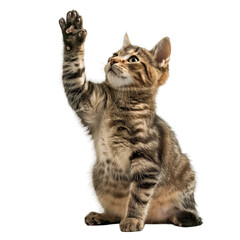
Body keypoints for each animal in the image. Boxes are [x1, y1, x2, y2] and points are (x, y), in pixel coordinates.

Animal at [59, 9, 202, 232]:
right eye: (115, 54)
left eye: (133, 59)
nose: (112, 60)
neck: (121, 102)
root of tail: (154, 220)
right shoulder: (84, 98)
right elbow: (73, 72)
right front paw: (72, 34)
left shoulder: (147, 161)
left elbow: (138, 196)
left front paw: (133, 218)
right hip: (97, 174)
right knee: (115, 212)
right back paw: (102, 215)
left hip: (186, 173)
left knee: (189, 213)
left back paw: (180, 216)